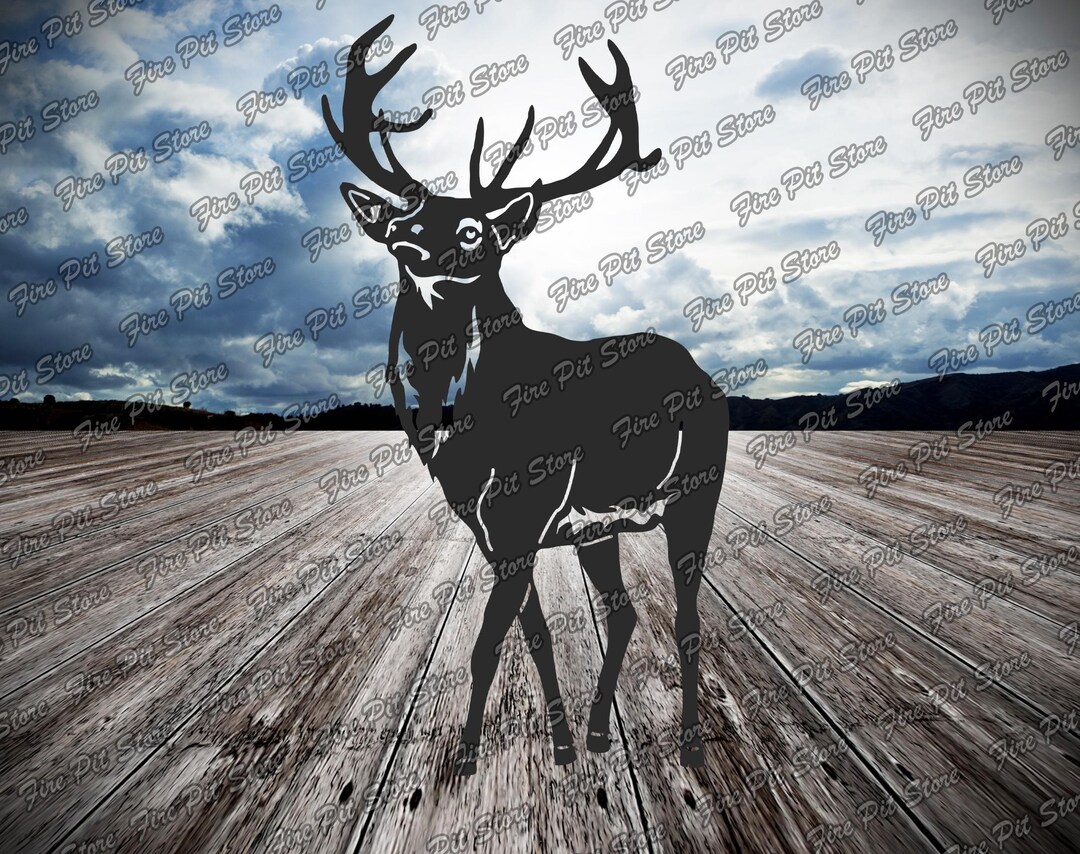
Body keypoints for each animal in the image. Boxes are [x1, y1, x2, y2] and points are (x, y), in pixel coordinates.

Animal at [324, 15, 729, 776]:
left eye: (473, 229)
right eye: (405, 224)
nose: (414, 249)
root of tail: (706, 377)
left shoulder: (521, 516)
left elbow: (485, 644)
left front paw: (464, 756)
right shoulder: (494, 531)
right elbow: (533, 634)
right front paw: (561, 745)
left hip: (697, 491)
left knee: (687, 619)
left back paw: (691, 743)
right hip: (599, 524)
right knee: (624, 611)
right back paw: (599, 734)